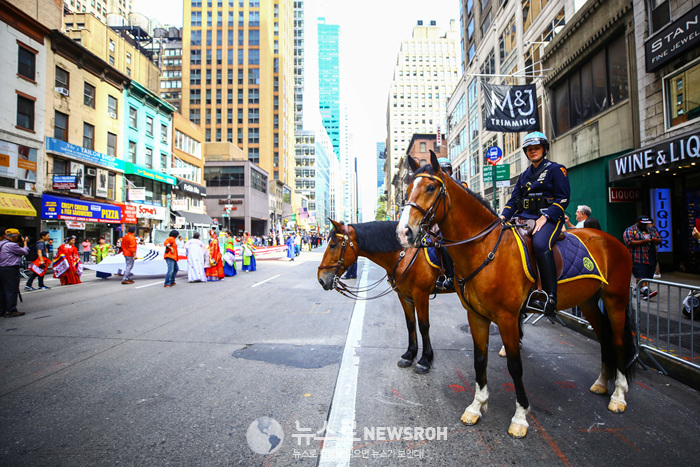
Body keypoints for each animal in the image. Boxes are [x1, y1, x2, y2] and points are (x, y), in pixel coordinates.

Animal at [318, 218, 454, 372]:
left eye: (333, 245)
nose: (321, 279)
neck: (405, 255)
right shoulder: (404, 295)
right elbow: (411, 323)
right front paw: (410, 354)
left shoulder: (421, 294)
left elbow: (423, 325)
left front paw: (425, 359)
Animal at [396, 154, 636, 438]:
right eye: (407, 189)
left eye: (431, 188)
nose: (403, 232)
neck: (484, 249)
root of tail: (612, 240)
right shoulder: (476, 316)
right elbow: (480, 360)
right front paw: (476, 407)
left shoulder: (508, 318)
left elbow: (514, 365)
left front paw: (520, 417)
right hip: (588, 301)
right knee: (604, 337)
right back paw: (601, 383)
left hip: (615, 299)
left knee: (618, 340)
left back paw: (619, 395)